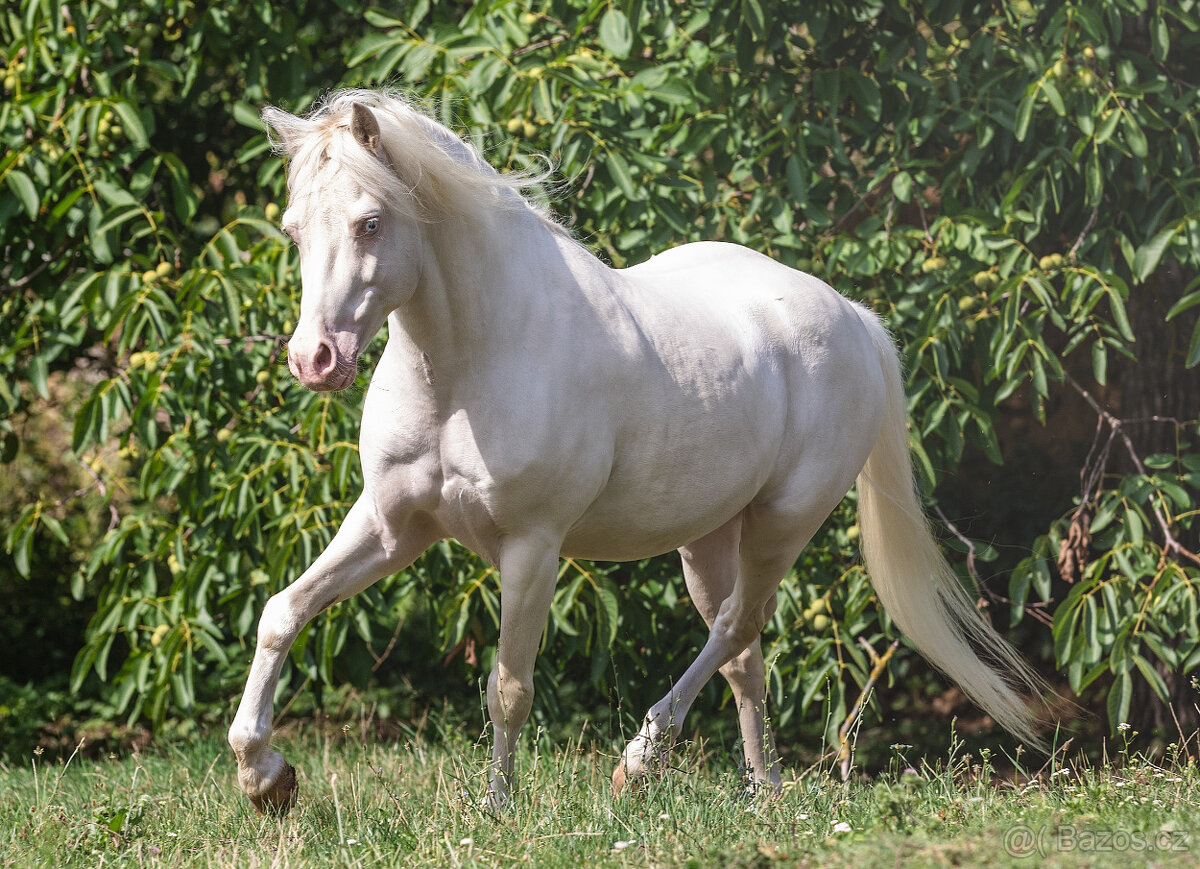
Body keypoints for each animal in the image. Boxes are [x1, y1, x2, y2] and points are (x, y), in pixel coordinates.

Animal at [227, 89, 1047, 814]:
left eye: (370, 222)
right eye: (294, 230)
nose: (314, 360)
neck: (469, 363)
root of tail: (851, 315)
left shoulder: (532, 546)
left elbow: (508, 686)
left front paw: (495, 808)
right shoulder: (393, 526)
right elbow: (282, 612)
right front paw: (265, 776)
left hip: (783, 522)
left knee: (736, 626)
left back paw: (641, 762)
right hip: (708, 540)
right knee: (744, 655)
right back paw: (764, 792)